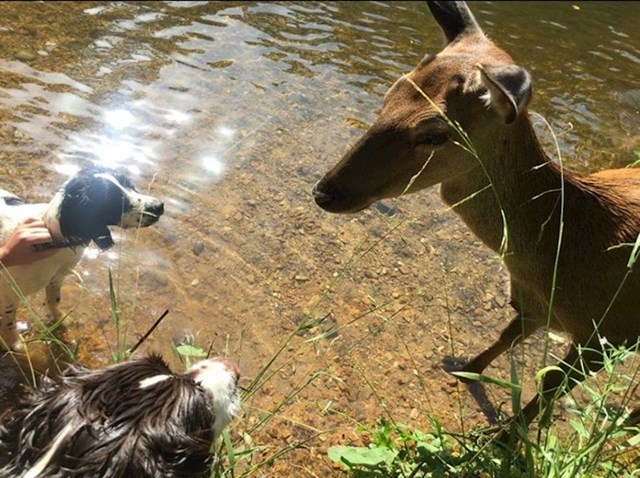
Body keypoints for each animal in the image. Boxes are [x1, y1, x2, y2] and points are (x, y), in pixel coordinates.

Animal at [0, 166, 164, 350]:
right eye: (113, 200)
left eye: (130, 185)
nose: (159, 206)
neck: (52, 236)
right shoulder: (9, 292)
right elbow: (9, 321)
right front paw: (15, 343)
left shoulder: (57, 277)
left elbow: (54, 300)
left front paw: (60, 319)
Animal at [312, 0, 640, 430]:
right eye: (389, 94)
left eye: (435, 133)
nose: (324, 191)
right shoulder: (534, 305)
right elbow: (507, 336)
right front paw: (465, 368)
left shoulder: (610, 334)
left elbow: (551, 384)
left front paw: (505, 434)